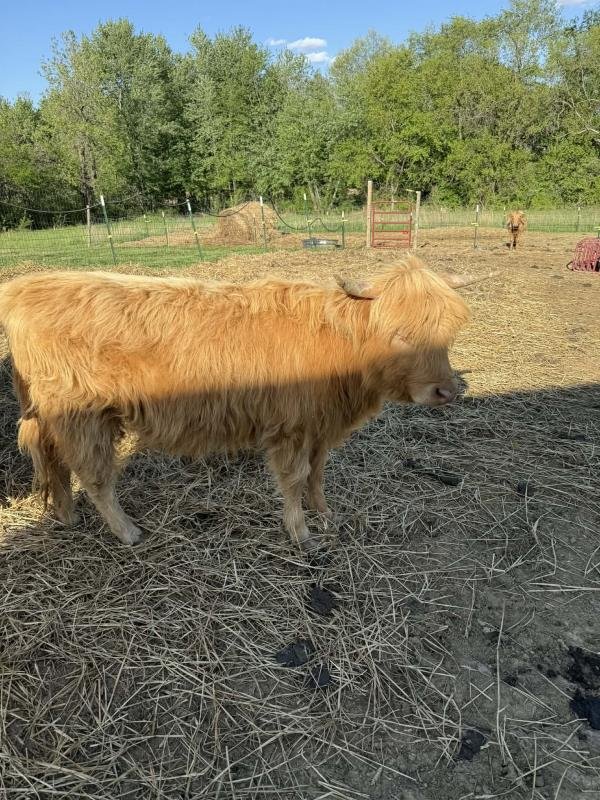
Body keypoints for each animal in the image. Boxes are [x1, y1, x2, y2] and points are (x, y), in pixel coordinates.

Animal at [0, 257, 482, 551]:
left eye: (448, 331)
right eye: (400, 334)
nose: (446, 392)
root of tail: (23, 288)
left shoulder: (319, 427)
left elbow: (318, 475)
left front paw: (325, 515)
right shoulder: (291, 427)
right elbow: (294, 480)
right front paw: (300, 532)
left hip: (55, 417)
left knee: (55, 462)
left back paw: (65, 516)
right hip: (83, 417)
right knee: (94, 476)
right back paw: (128, 532)